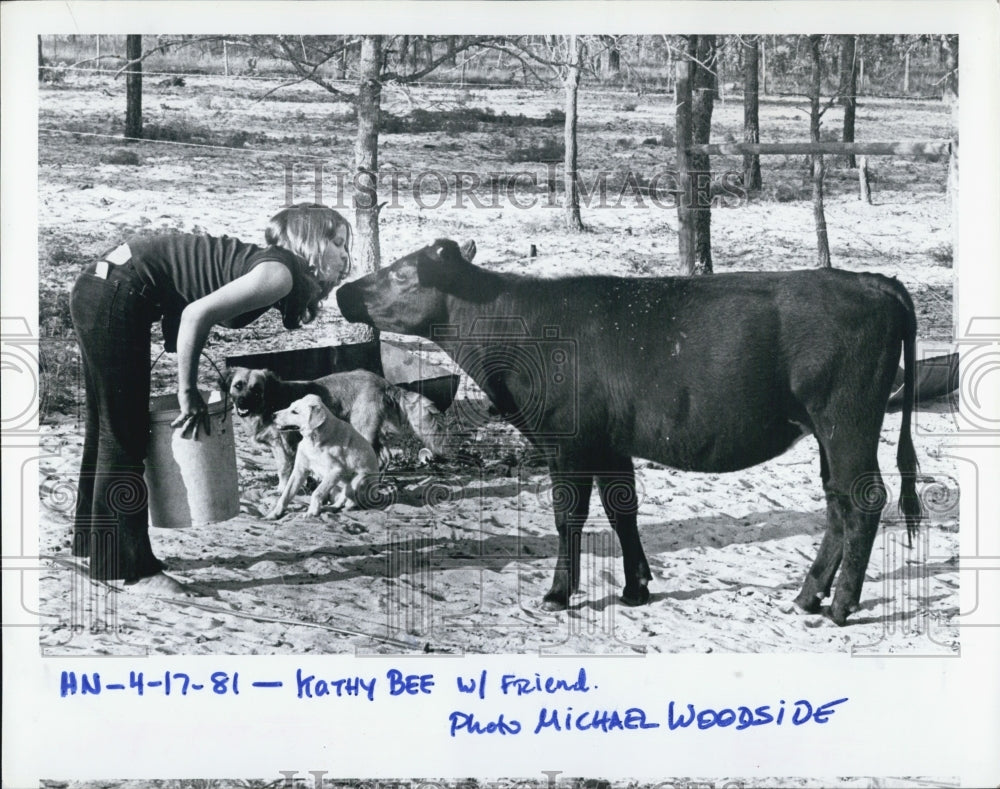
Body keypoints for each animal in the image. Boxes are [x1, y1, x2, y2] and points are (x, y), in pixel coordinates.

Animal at [338, 237, 920, 624]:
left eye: (402, 274)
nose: (344, 291)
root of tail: (873, 281)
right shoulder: (608, 444)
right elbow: (622, 510)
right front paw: (636, 587)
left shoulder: (567, 442)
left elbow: (569, 517)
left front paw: (558, 593)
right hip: (827, 429)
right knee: (837, 502)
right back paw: (807, 596)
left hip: (846, 420)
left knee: (864, 499)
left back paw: (840, 605)